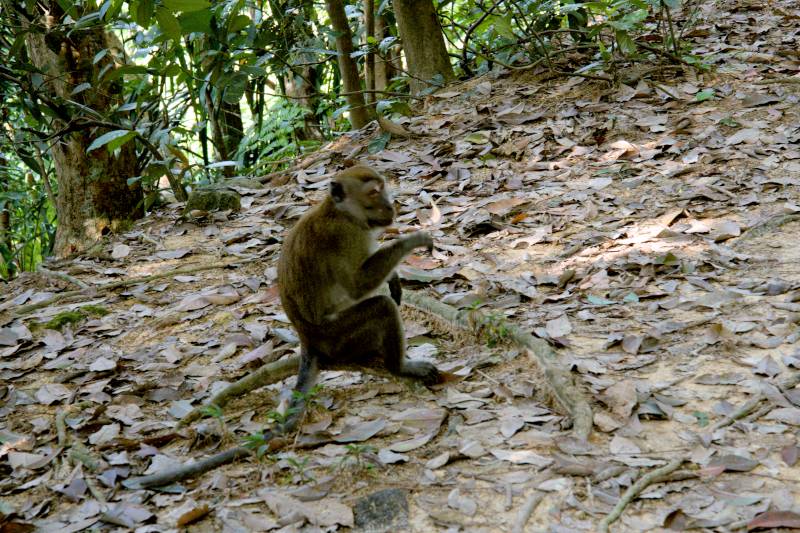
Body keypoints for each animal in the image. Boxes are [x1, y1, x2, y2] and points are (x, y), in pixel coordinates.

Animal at [270, 164, 444, 438]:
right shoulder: (344, 237)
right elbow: (356, 286)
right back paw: (399, 367)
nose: (390, 206)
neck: (340, 213)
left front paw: (394, 276)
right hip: (336, 338)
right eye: (373, 193)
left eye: (383, 188)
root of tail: (307, 340)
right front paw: (410, 241)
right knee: (382, 307)